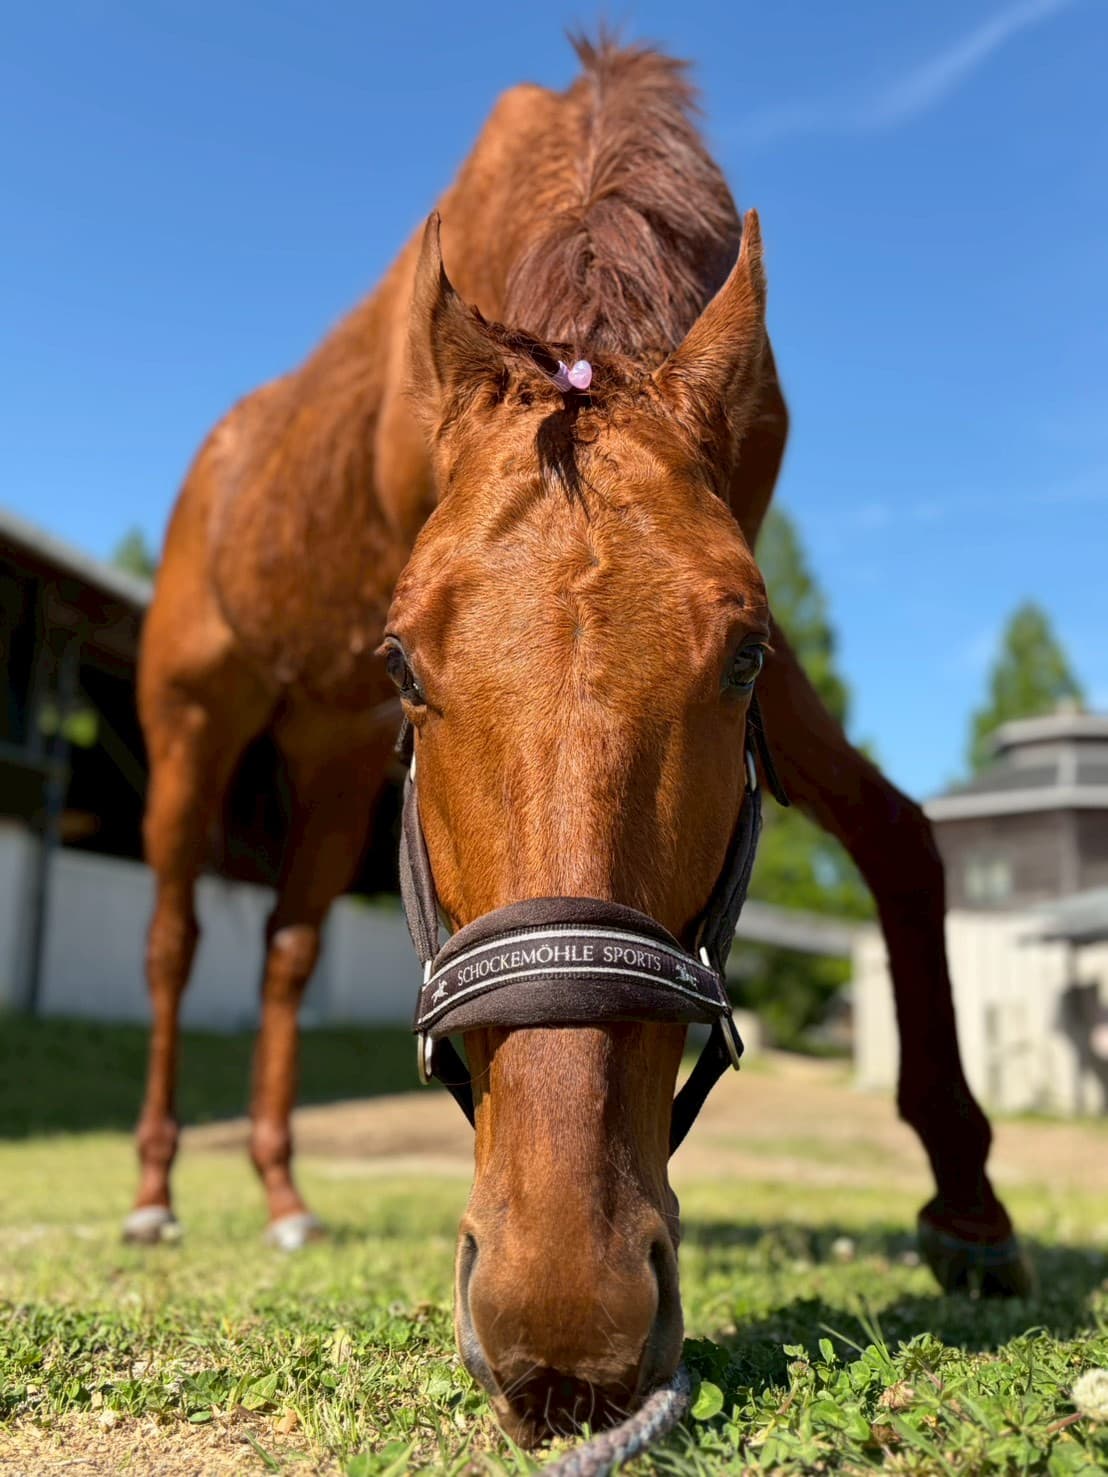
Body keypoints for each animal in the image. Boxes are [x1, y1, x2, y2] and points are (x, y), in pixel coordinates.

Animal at [129, 36, 1028, 1443]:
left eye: (741, 656)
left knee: (284, 952)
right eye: (405, 659)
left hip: (330, 760)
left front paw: (972, 1210)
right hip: (189, 728)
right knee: (172, 941)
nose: (564, 1320)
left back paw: (283, 1197)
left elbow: (899, 836)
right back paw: (157, 1194)